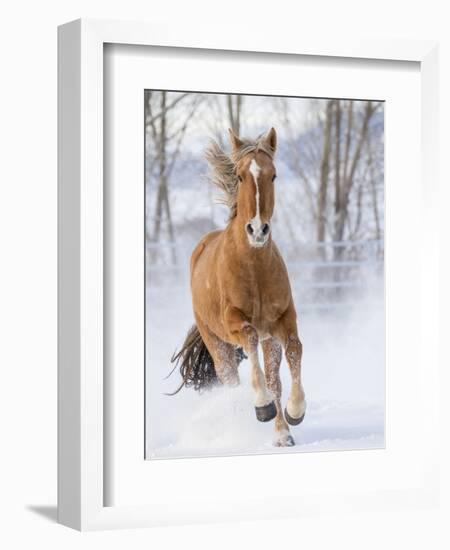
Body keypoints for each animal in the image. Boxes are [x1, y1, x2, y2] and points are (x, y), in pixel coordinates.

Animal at [172, 127, 306, 446]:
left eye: (273, 175)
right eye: (241, 176)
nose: (257, 230)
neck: (254, 268)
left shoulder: (283, 321)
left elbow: (295, 350)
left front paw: (295, 411)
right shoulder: (236, 323)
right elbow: (250, 339)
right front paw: (262, 406)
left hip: (269, 340)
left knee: (274, 379)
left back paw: (283, 434)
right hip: (217, 344)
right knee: (231, 381)